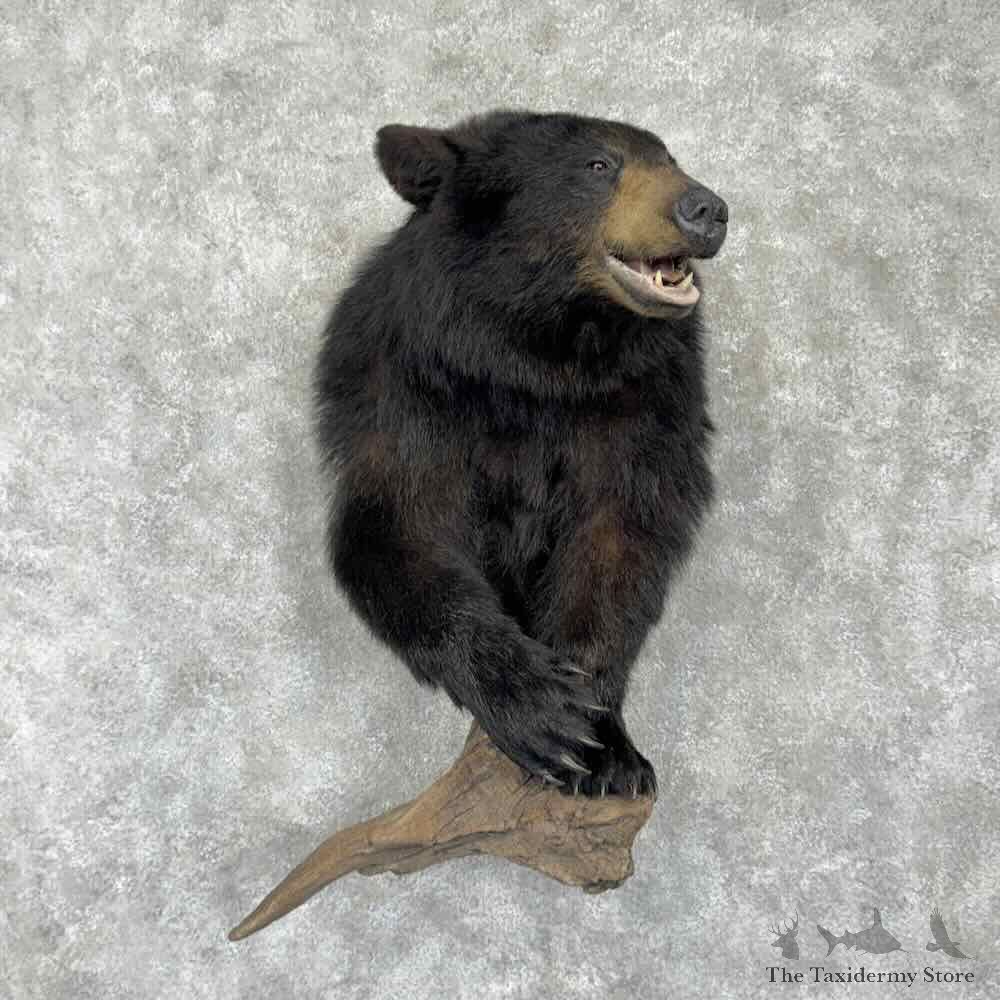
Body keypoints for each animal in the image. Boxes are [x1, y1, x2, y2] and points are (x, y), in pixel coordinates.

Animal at [313, 110, 727, 798]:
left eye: (670, 158)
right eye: (598, 164)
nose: (708, 208)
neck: (542, 362)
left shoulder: (642, 408)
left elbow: (618, 545)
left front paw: (607, 749)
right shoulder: (415, 396)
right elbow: (401, 529)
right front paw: (538, 709)